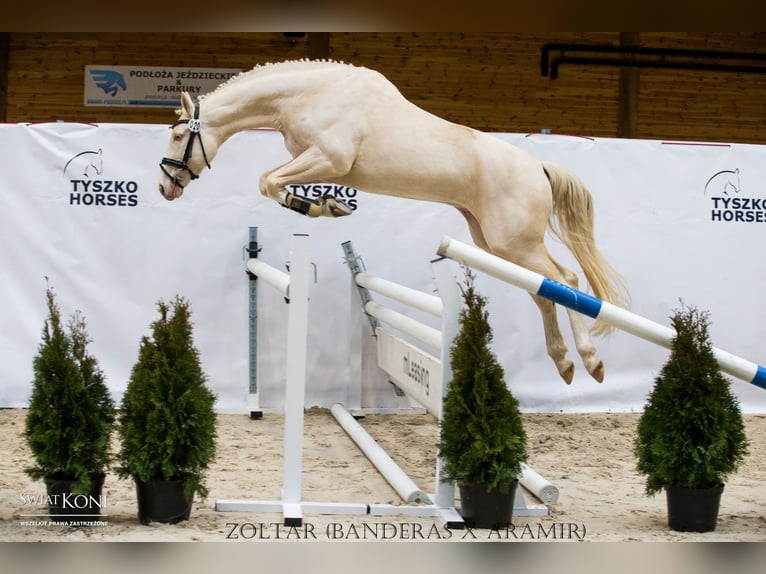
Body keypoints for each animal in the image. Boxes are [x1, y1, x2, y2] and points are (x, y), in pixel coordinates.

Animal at [158, 59, 632, 388]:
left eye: (179, 136)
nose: (165, 187)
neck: (308, 94)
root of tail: (538, 166)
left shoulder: (328, 159)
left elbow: (268, 181)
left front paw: (321, 207)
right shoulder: (317, 161)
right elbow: (270, 182)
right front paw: (327, 204)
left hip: (515, 242)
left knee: (566, 280)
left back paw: (590, 361)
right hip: (497, 244)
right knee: (543, 293)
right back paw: (564, 363)